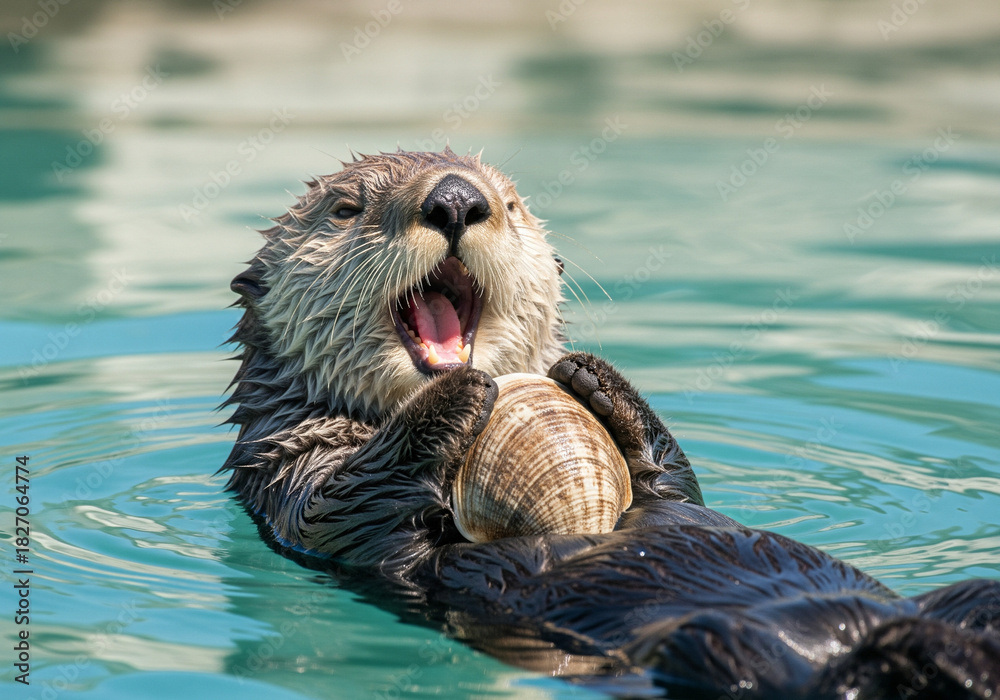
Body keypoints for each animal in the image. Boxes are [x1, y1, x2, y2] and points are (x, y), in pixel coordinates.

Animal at [221, 148, 999, 699]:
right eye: (346, 208)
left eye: (510, 202)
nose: (456, 199)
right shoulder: (297, 481)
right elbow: (350, 498)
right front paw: (464, 391)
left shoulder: (666, 486)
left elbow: (674, 483)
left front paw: (594, 376)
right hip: (716, 645)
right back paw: (909, 655)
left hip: (962, 597)